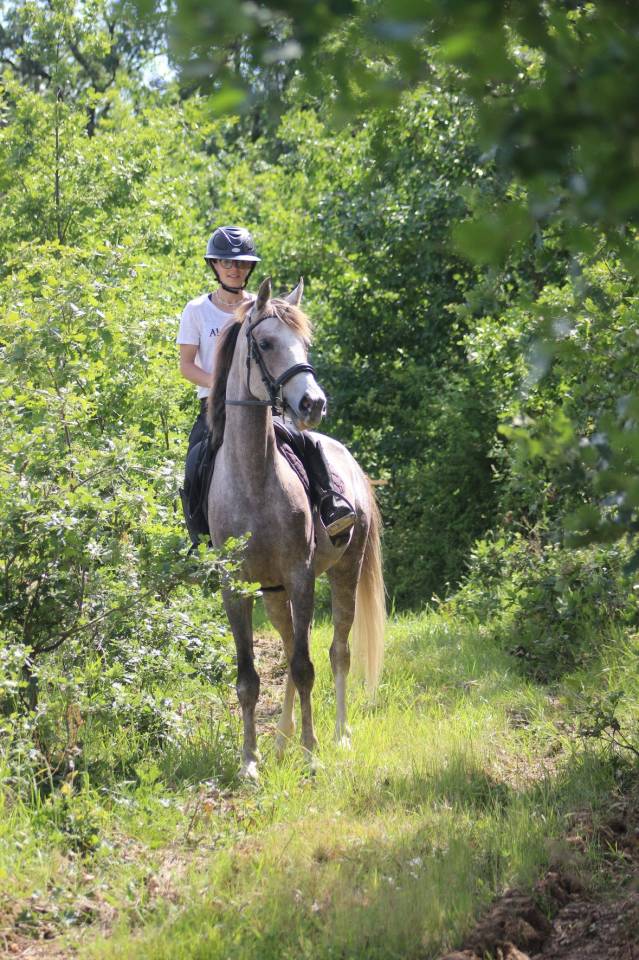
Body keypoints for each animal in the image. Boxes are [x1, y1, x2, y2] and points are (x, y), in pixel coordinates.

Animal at [206, 276, 385, 778]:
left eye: (304, 343)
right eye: (266, 343)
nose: (313, 403)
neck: (253, 478)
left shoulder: (301, 577)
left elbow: (307, 666)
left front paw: (312, 753)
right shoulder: (238, 588)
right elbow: (249, 677)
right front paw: (250, 761)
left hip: (344, 571)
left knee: (338, 651)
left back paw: (339, 736)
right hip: (273, 593)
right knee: (289, 652)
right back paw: (281, 741)